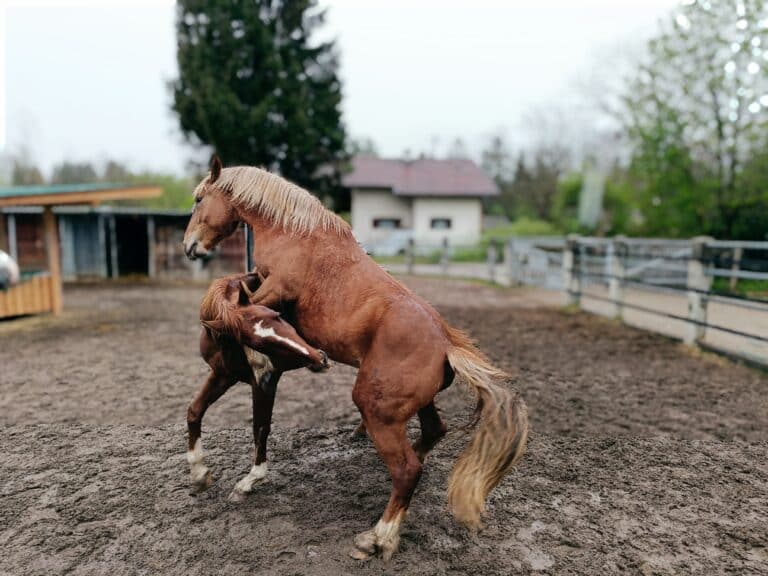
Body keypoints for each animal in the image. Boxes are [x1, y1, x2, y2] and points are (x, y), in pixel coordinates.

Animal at [188, 272, 329, 496]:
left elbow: (260, 426)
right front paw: (199, 473)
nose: (320, 358)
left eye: (278, 315)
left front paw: (251, 479)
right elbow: (195, 411)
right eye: (259, 343)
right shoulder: (223, 375)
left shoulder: (266, 379)